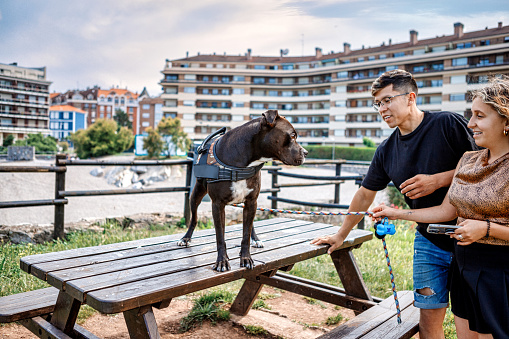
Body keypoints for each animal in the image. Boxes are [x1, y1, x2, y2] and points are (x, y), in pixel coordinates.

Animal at [177, 110, 308, 272]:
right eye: (292, 135)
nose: (306, 152)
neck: (245, 161)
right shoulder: (217, 204)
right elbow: (220, 237)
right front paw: (222, 261)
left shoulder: (252, 201)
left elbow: (246, 233)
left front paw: (246, 258)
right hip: (196, 193)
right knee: (194, 217)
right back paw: (186, 238)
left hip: (250, 204)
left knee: (250, 225)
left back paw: (256, 239)